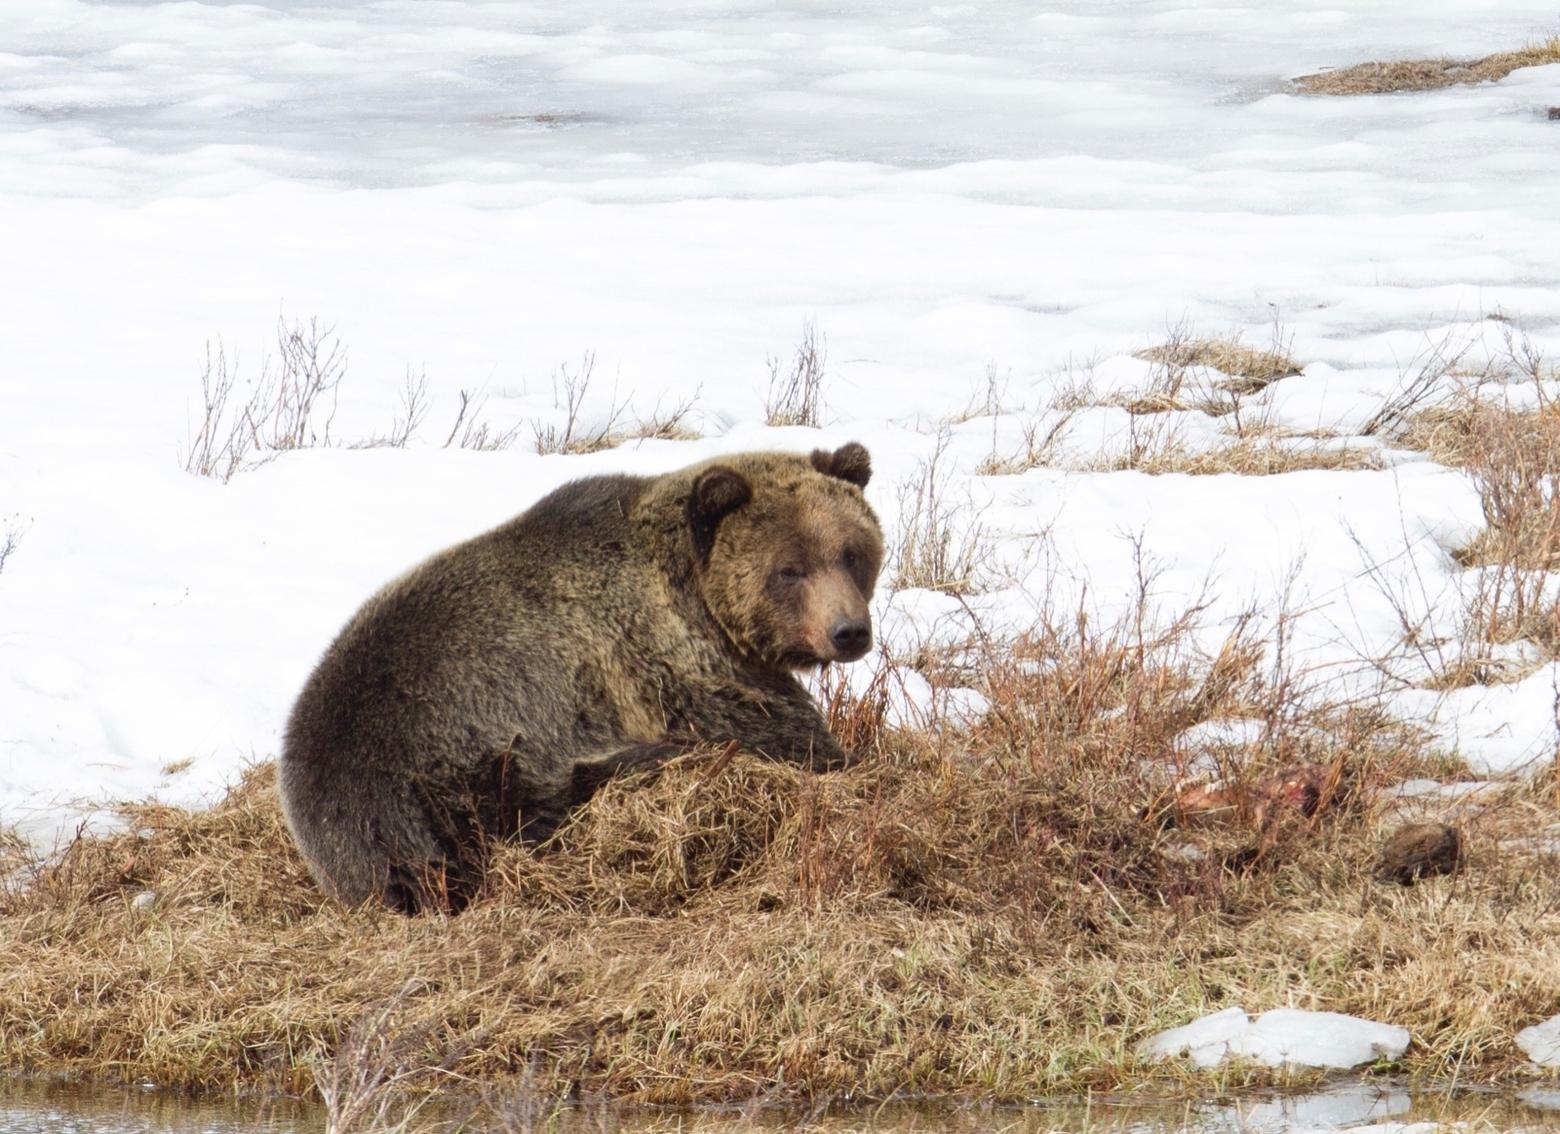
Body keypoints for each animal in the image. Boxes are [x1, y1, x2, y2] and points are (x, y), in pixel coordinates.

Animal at [277, 442, 879, 910]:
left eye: (852, 552)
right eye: (789, 569)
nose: (849, 631)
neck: (697, 598)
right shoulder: (664, 663)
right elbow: (772, 728)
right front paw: (841, 756)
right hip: (463, 769)